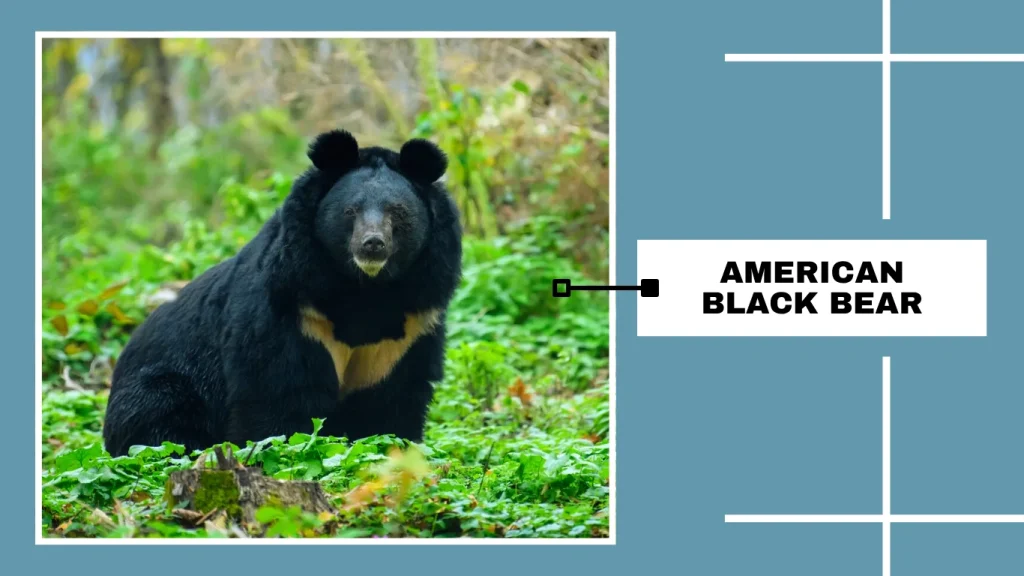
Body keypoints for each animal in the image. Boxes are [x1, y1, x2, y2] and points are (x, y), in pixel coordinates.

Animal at [101, 129, 463, 457]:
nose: (372, 244)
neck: (365, 288)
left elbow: (390, 400)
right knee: (160, 421)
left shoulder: (408, 329)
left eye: (398, 212)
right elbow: (279, 392)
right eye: (351, 211)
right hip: (163, 385)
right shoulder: (292, 310)